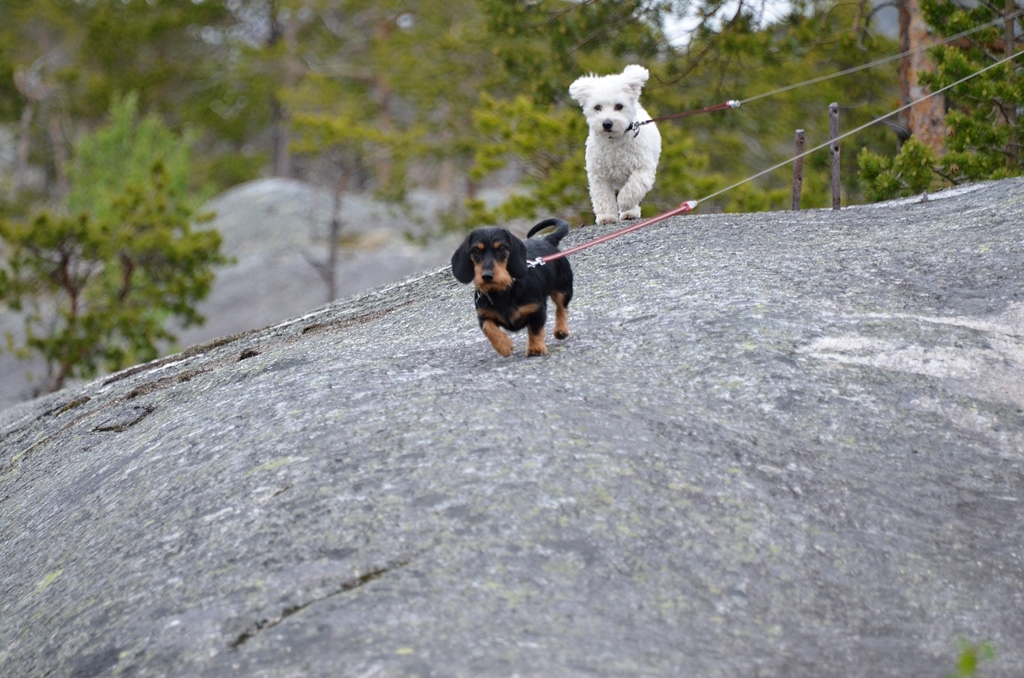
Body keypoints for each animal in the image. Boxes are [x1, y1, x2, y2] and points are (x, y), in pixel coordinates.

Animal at [569, 63, 663, 224]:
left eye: (619, 106)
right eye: (597, 107)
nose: (607, 123)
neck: (613, 140)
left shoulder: (643, 169)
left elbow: (633, 188)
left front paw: (624, 202)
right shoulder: (599, 175)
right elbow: (603, 197)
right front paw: (607, 216)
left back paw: (629, 212)